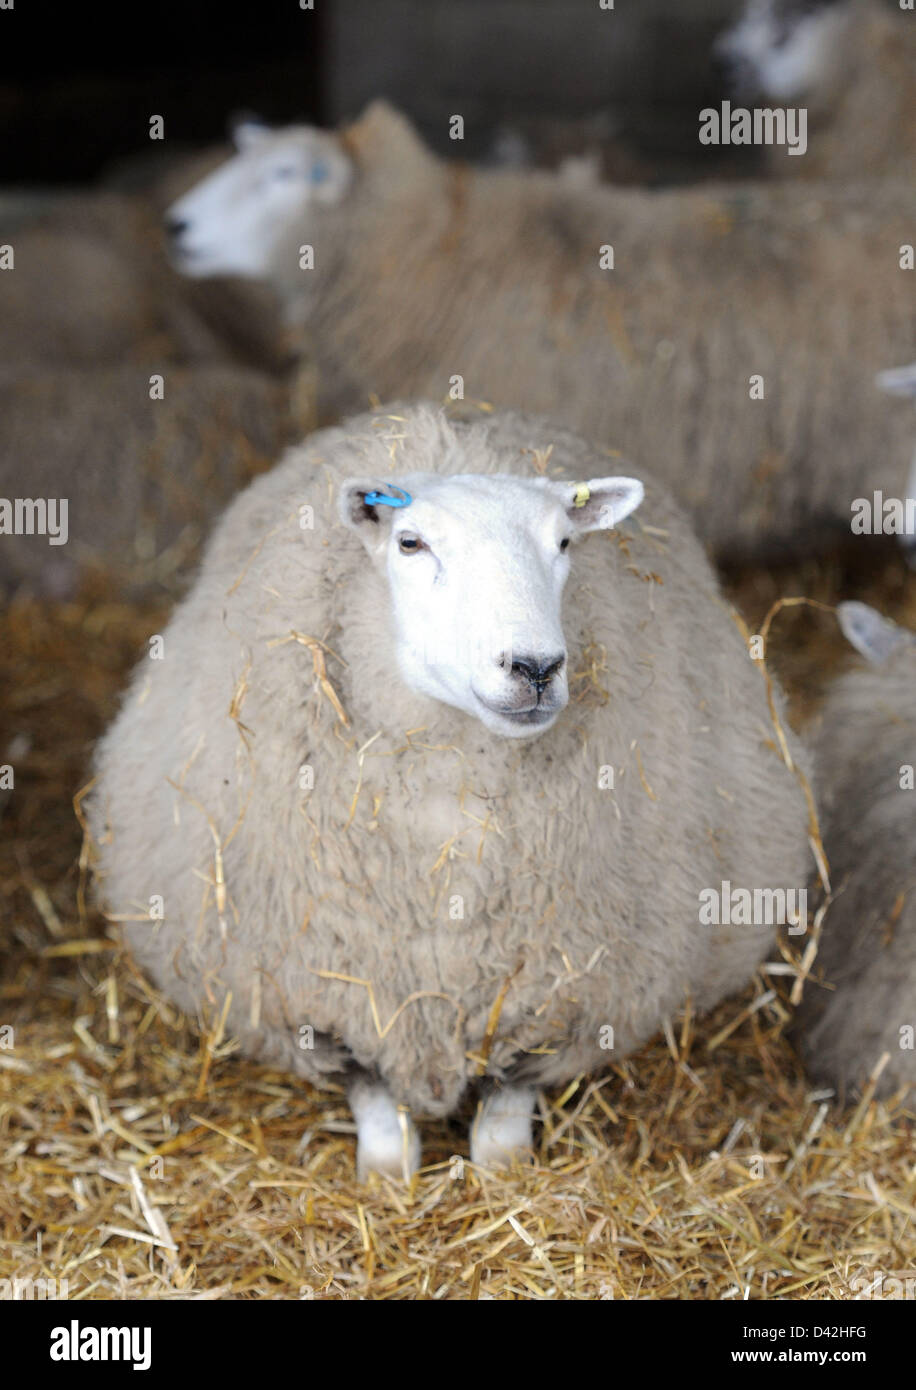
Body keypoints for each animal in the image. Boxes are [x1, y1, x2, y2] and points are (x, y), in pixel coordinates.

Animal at [88, 402, 812, 1178]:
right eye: (411, 542)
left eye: (564, 541)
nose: (535, 667)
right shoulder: (329, 1000)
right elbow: (378, 1109)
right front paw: (385, 1178)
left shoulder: (562, 1000)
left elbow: (503, 1118)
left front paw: (505, 1175)